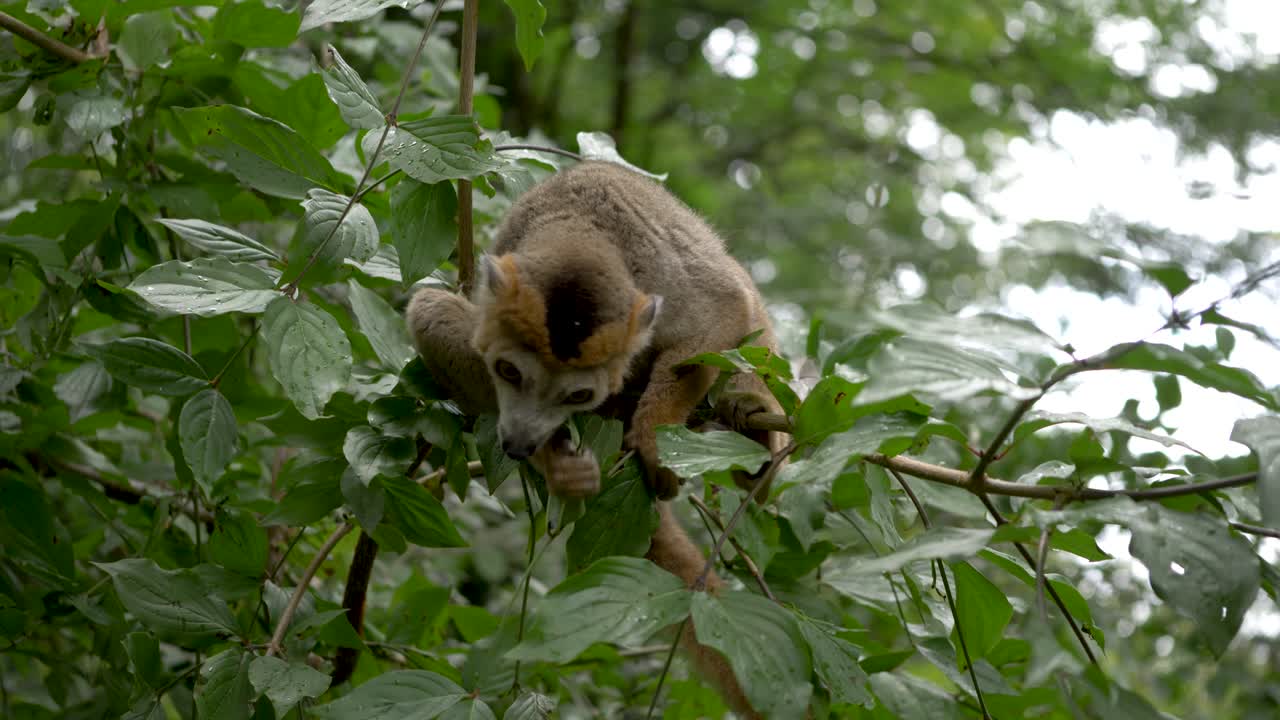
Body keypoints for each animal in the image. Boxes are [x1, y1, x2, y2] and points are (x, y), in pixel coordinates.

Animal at [405, 160, 786, 717]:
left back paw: (755, 434)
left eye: (578, 395)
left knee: (747, 316)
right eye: (508, 373)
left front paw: (653, 437)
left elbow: (727, 306)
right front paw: (554, 461)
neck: (582, 237)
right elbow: (436, 319)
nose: (519, 443)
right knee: (428, 308)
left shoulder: (667, 282)